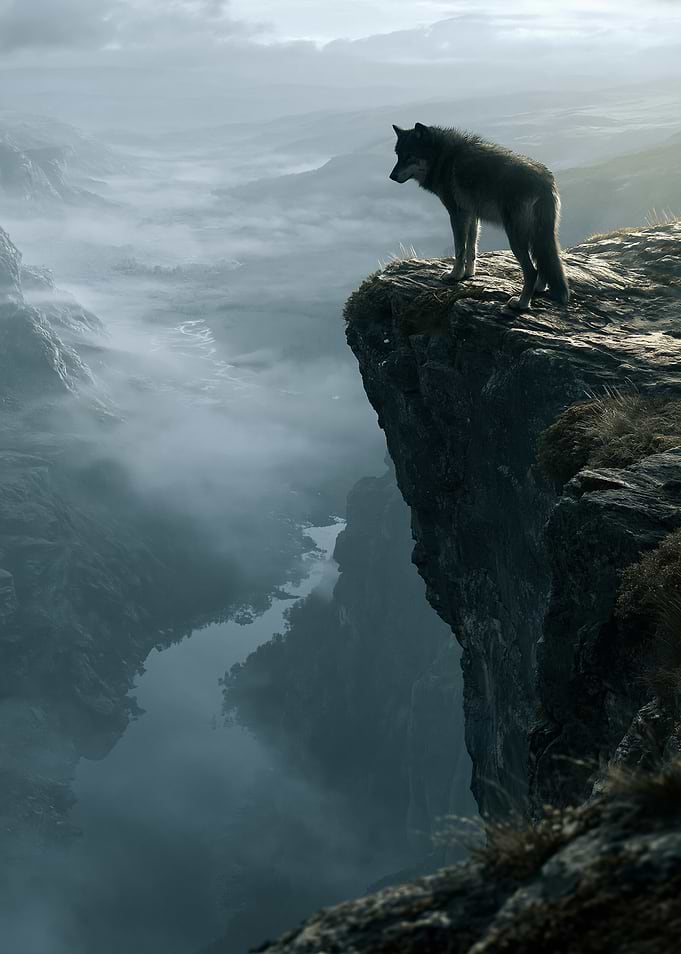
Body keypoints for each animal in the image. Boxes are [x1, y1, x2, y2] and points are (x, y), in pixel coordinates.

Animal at [389, 123, 570, 312]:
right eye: (398, 156)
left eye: (409, 156)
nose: (392, 176)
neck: (443, 158)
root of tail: (545, 182)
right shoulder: (472, 216)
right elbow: (471, 249)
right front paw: (469, 274)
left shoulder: (457, 214)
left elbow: (459, 250)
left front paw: (454, 275)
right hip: (539, 236)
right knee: (543, 262)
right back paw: (540, 289)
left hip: (515, 237)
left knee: (531, 271)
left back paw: (521, 304)